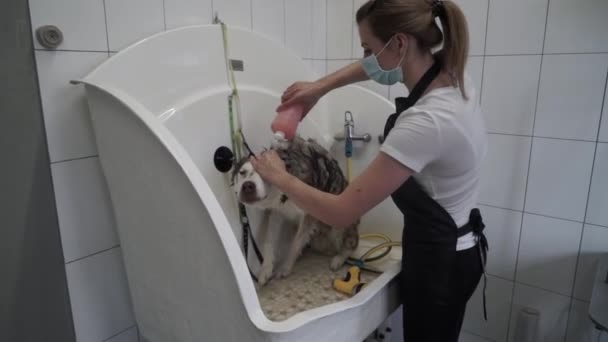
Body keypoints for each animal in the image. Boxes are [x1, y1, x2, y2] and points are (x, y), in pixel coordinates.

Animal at [230, 136, 358, 286]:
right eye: (242, 173)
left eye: (265, 175)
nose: (248, 186)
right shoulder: (277, 212)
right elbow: (269, 241)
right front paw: (266, 269)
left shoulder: (310, 214)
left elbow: (295, 244)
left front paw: (285, 268)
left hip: (338, 225)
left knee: (351, 246)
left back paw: (338, 259)